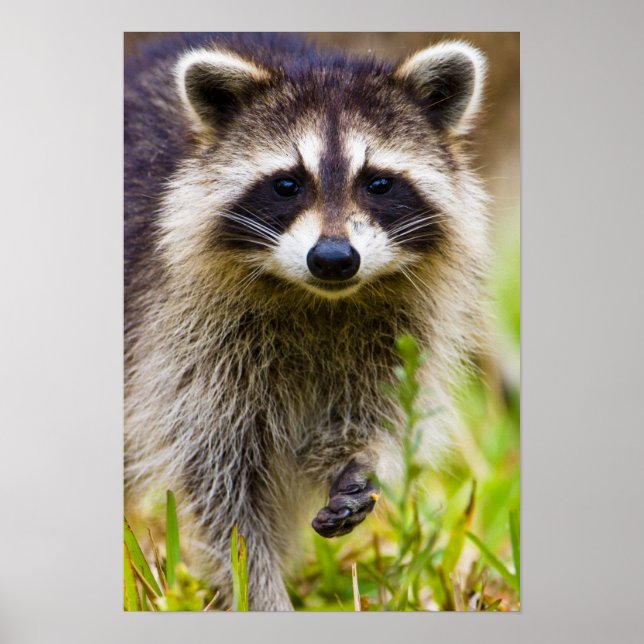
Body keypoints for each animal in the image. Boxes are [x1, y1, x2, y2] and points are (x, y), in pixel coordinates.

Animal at [125, 33, 488, 611]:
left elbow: (378, 412)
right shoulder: (180, 336)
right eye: (287, 185)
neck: (320, 301)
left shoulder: (402, 329)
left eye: (379, 183)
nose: (334, 259)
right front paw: (260, 593)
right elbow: (221, 488)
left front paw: (362, 461)